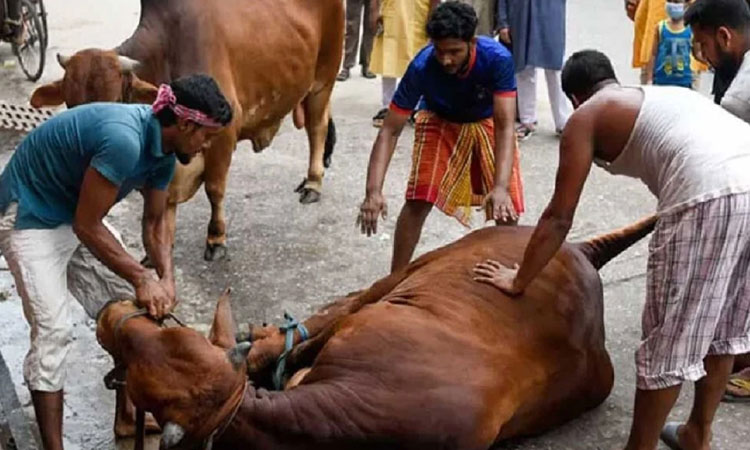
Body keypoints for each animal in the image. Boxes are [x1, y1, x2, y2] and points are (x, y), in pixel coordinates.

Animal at [30, 0, 346, 260]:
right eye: (70, 104)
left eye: (114, 101)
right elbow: (164, 203)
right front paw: (159, 248)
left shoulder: (223, 135)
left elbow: (214, 189)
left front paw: (216, 239)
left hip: (323, 78)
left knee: (317, 128)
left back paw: (313, 183)